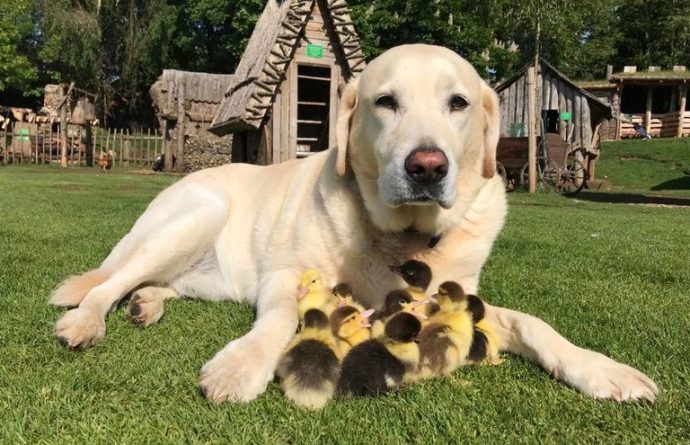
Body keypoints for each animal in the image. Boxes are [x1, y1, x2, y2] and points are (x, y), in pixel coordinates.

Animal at [49, 44, 656, 402]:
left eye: (458, 103)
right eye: (385, 101)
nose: (427, 166)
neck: (404, 236)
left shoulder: (464, 297)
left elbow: (535, 324)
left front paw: (604, 370)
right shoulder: (285, 274)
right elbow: (277, 320)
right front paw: (241, 366)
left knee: (160, 283)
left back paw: (147, 304)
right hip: (197, 214)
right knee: (108, 282)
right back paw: (88, 320)